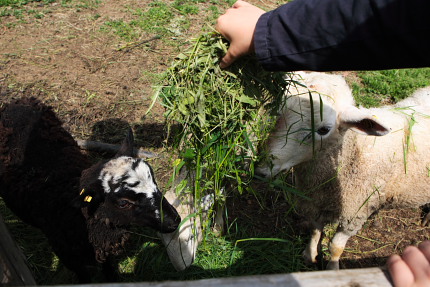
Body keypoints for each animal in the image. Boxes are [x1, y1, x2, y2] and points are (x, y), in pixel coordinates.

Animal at [0, 98, 181, 284]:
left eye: (154, 181)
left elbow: (108, 268)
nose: (175, 220)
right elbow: (84, 276)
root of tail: (20, 101)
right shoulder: (71, 258)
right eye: (123, 203)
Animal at [256, 72, 428, 270]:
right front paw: (309, 255)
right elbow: (315, 231)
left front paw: (332, 269)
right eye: (277, 111)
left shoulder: (354, 215)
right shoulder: (315, 203)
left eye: (324, 129)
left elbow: (335, 247)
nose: (261, 170)